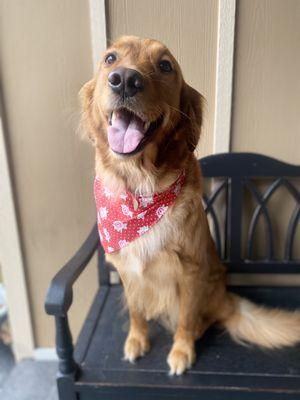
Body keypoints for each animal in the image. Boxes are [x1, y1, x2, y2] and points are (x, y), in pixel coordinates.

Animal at [79, 35, 300, 376]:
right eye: (110, 58)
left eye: (165, 65)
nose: (125, 80)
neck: (140, 190)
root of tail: (227, 300)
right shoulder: (127, 271)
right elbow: (136, 311)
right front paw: (136, 340)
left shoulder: (190, 271)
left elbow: (185, 317)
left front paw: (182, 351)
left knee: (200, 319)